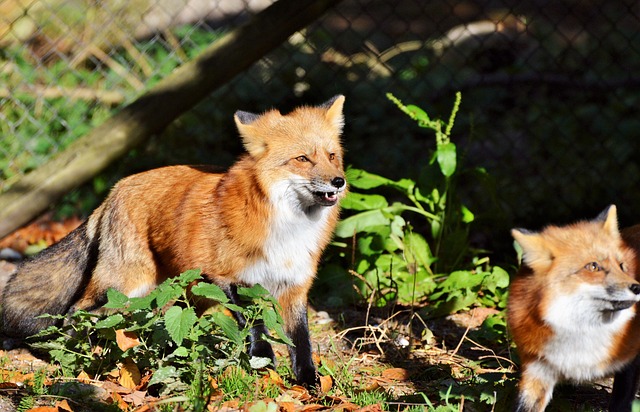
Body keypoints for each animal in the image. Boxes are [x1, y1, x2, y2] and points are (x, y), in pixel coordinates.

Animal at [2, 96, 348, 386]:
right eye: (302, 158)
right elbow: (255, 327)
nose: (339, 181)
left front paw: (309, 383)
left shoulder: (294, 287)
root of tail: (115, 189)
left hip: (188, 292)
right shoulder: (227, 278)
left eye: (332, 156)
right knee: (78, 310)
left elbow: (301, 342)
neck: (288, 228)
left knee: (163, 324)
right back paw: (80, 355)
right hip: (126, 284)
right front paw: (263, 364)